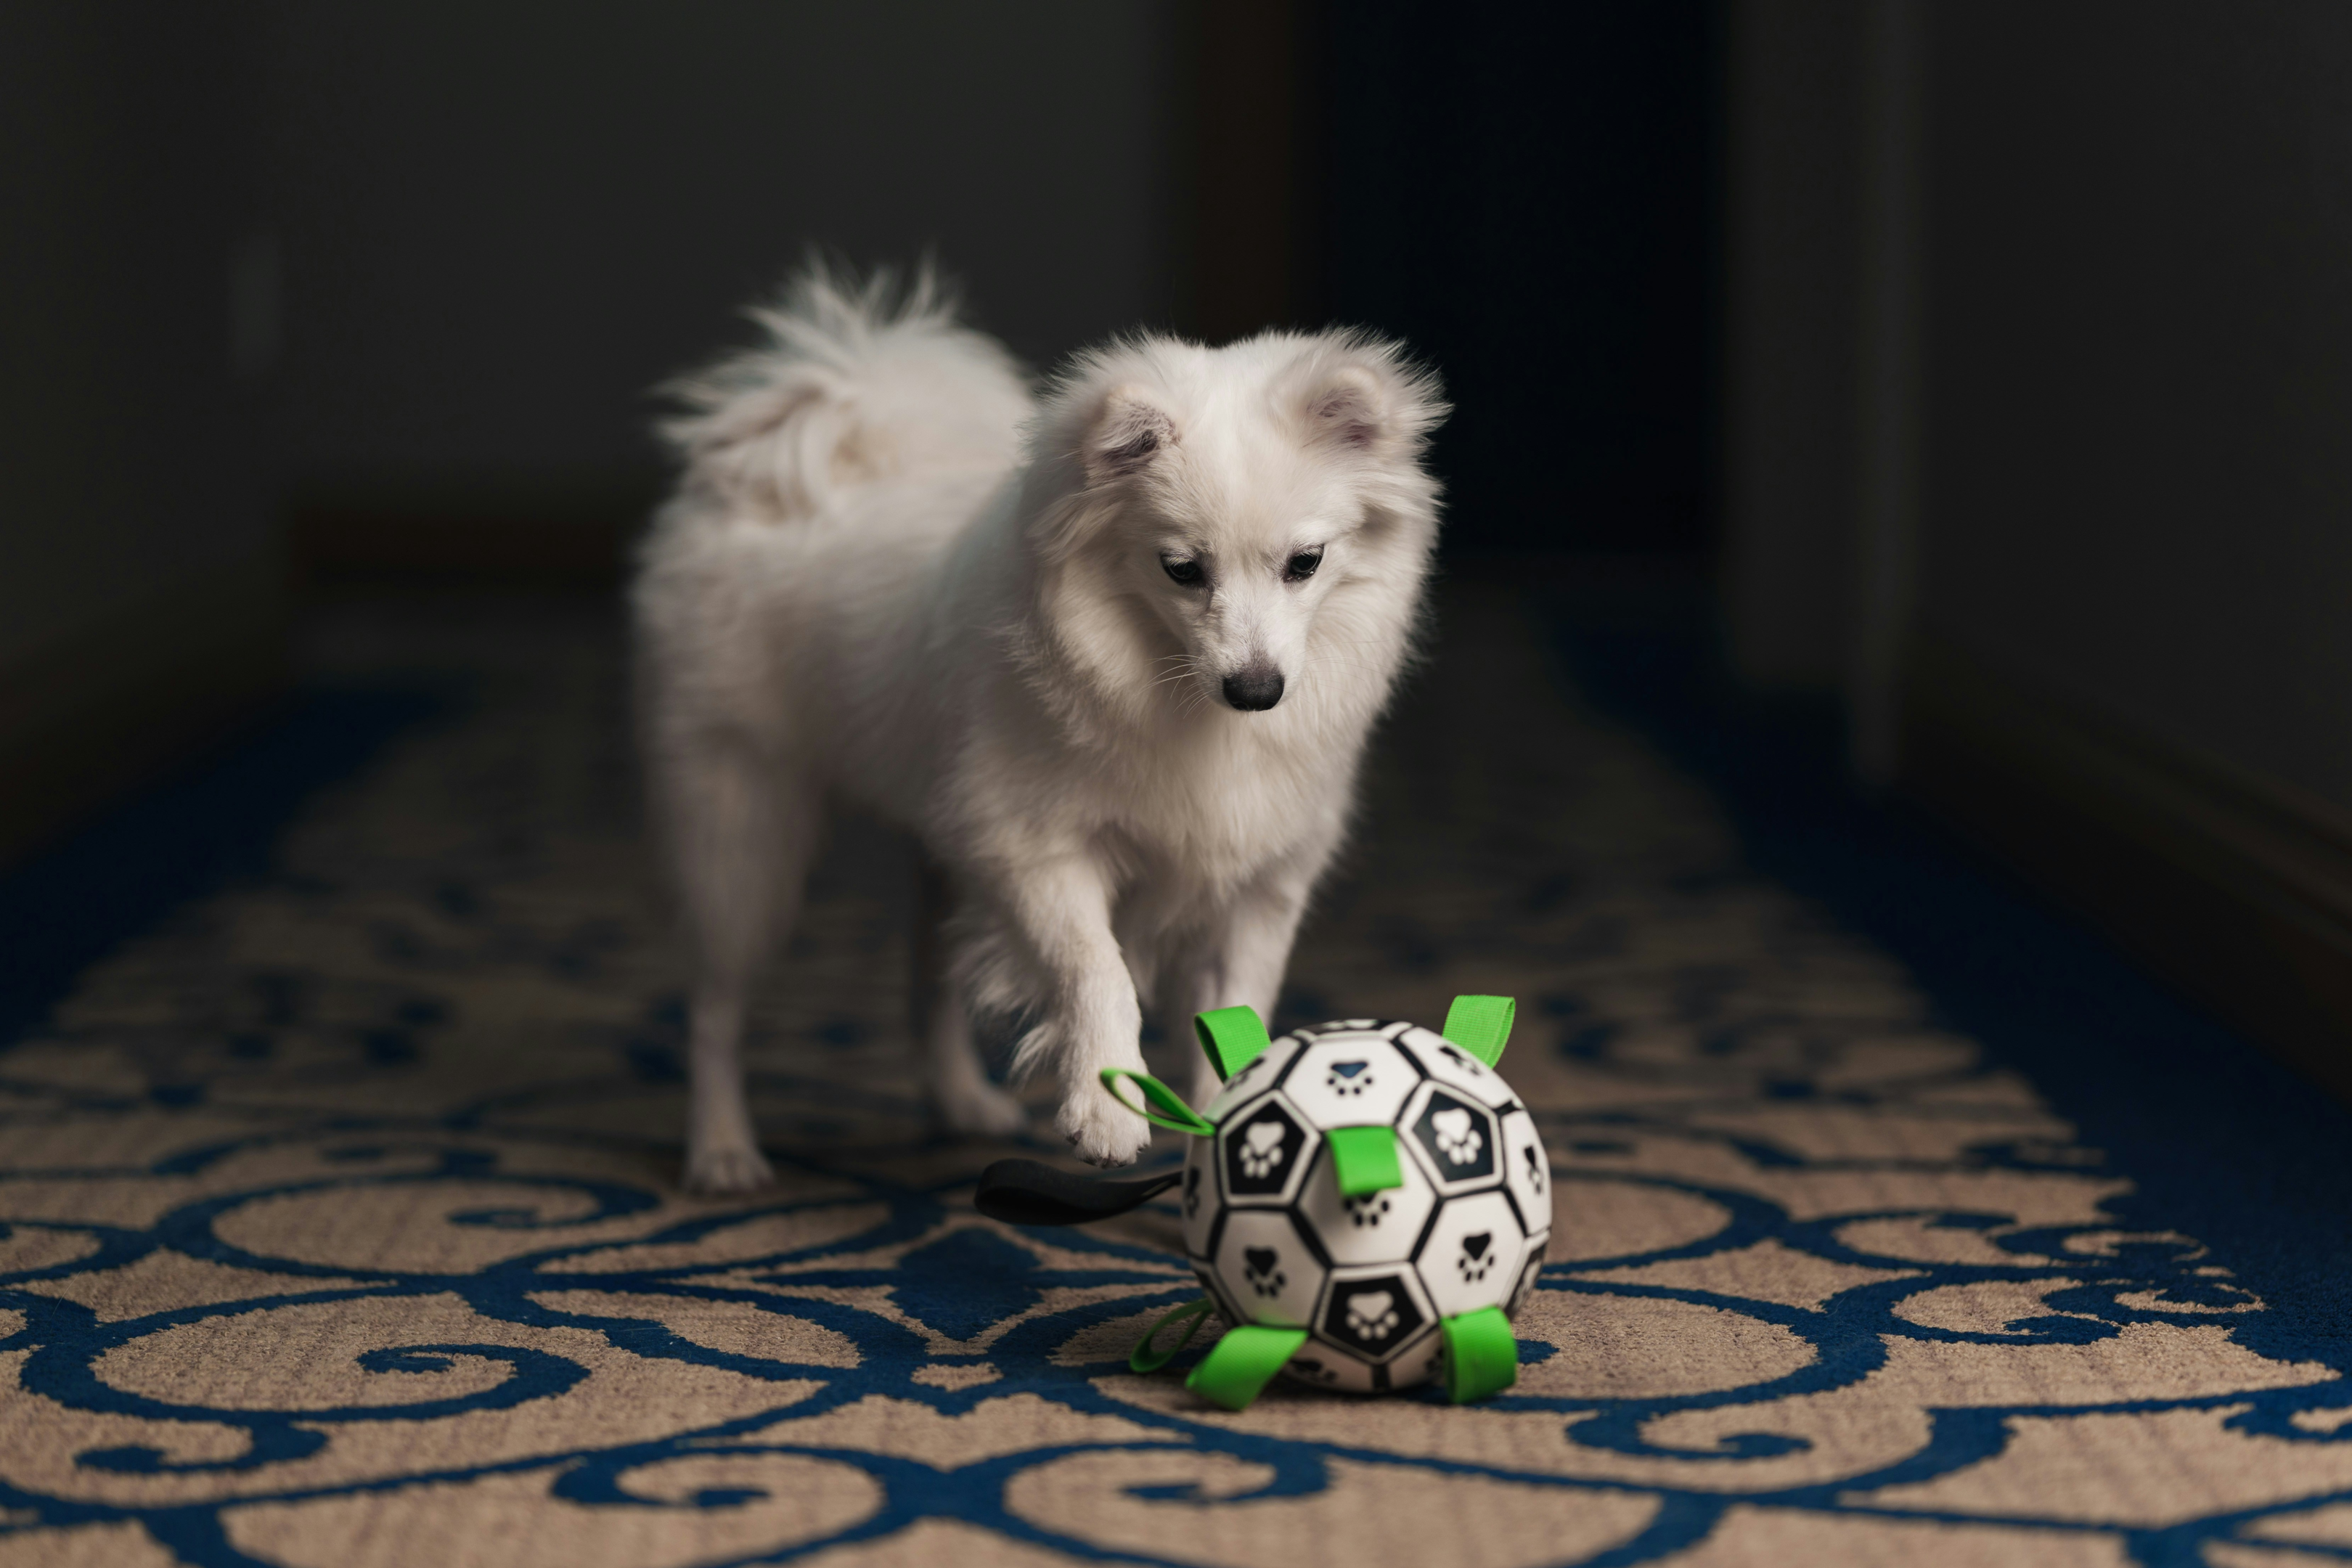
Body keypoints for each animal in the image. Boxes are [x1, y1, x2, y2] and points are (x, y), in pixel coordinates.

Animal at [640, 270, 1448, 1189]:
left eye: (1305, 565)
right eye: (1182, 570)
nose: (1256, 689)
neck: (1179, 697)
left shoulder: (1257, 888)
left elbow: (1238, 1022)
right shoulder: (1030, 847)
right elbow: (1097, 968)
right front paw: (1104, 1108)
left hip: (933, 844)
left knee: (927, 976)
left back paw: (959, 1102)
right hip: (742, 833)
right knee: (715, 1004)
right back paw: (721, 1148)